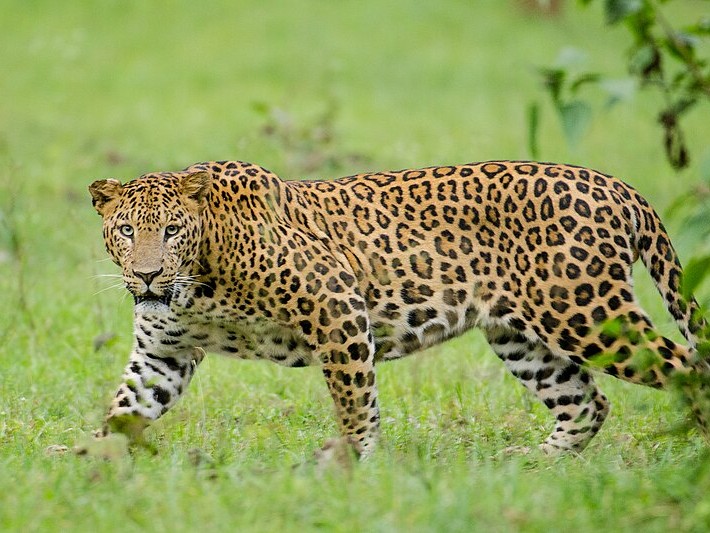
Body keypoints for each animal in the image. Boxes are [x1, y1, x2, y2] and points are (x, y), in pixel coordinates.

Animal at [89, 160, 709, 457]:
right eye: (127, 231)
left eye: (172, 231)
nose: (147, 275)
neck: (199, 282)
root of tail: (616, 185)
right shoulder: (163, 353)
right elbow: (125, 409)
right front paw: (87, 465)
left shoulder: (336, 305)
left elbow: (354, 401)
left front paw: (351, 463)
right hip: (522, 336)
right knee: (586, 403)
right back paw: (533, 463)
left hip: (586, 314)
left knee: (689, 368)